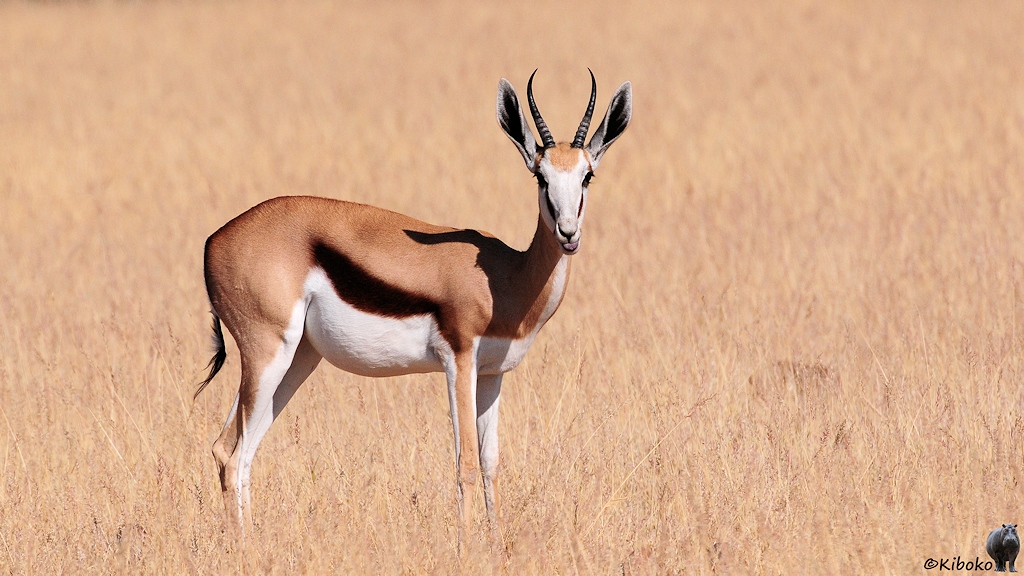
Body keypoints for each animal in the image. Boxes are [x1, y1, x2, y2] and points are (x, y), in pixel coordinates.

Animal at [195, 71, 632, 540]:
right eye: (540, 176)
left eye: (587, 176)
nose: (568, 233)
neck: (507, 277)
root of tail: (215, 239)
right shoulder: (459, 362)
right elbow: (465, 464)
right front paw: (465, 545)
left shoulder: (492, 374)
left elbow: (491, 463)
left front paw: (496, 543)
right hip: (267, 354)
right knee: (231, 452)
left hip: (298, 360)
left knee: (238, 452)